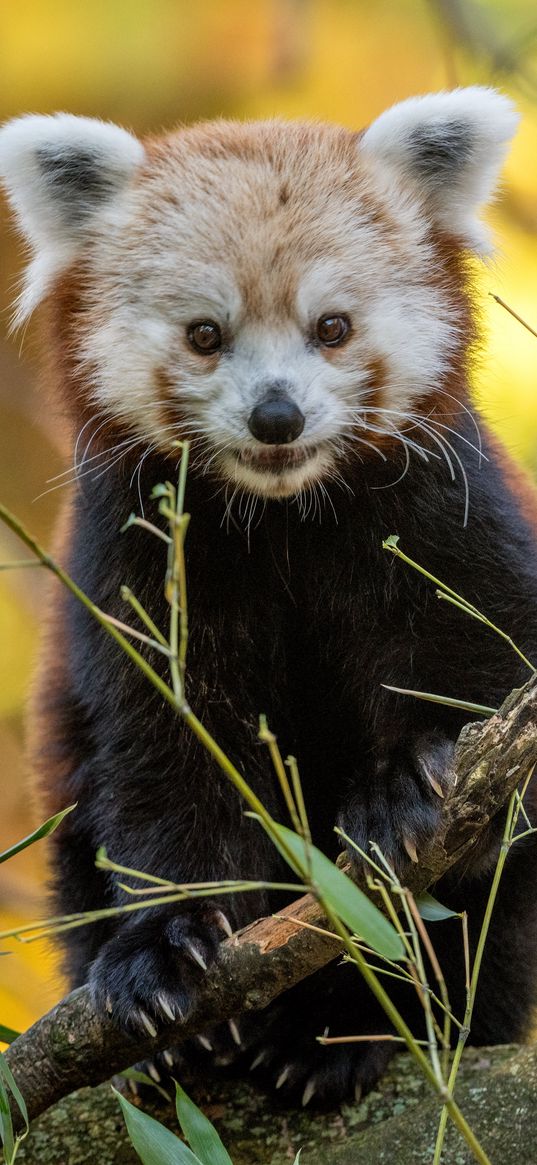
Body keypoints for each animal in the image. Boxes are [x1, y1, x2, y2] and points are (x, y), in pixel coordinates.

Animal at [1, 86, 535, 1104]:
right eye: (205, 334)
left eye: (331, 327)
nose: (276, 415)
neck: (282, 519)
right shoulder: (138, 575)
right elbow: (166, 759)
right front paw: (163, 952)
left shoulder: (451, 521)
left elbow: (485, 695)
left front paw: (403, 789)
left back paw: (344, 1030)